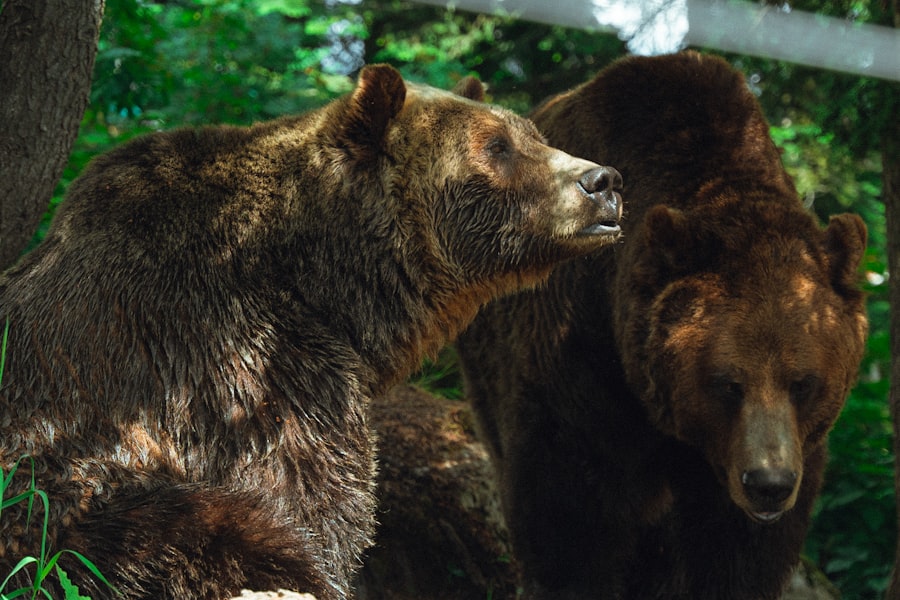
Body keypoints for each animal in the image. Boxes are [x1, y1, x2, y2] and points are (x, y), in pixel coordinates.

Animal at [0, 64, 624, 600]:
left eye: (533, 133)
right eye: (496, 146)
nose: (603, 180)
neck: (322, 279)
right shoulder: (244, 366)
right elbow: (308, 503)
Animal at [456, 51, 868, 599]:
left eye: (803, 382)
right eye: (728, 383)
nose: (768, 485)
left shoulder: (775, 451)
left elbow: (738, 554)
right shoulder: (578, 365)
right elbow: (572, 518)